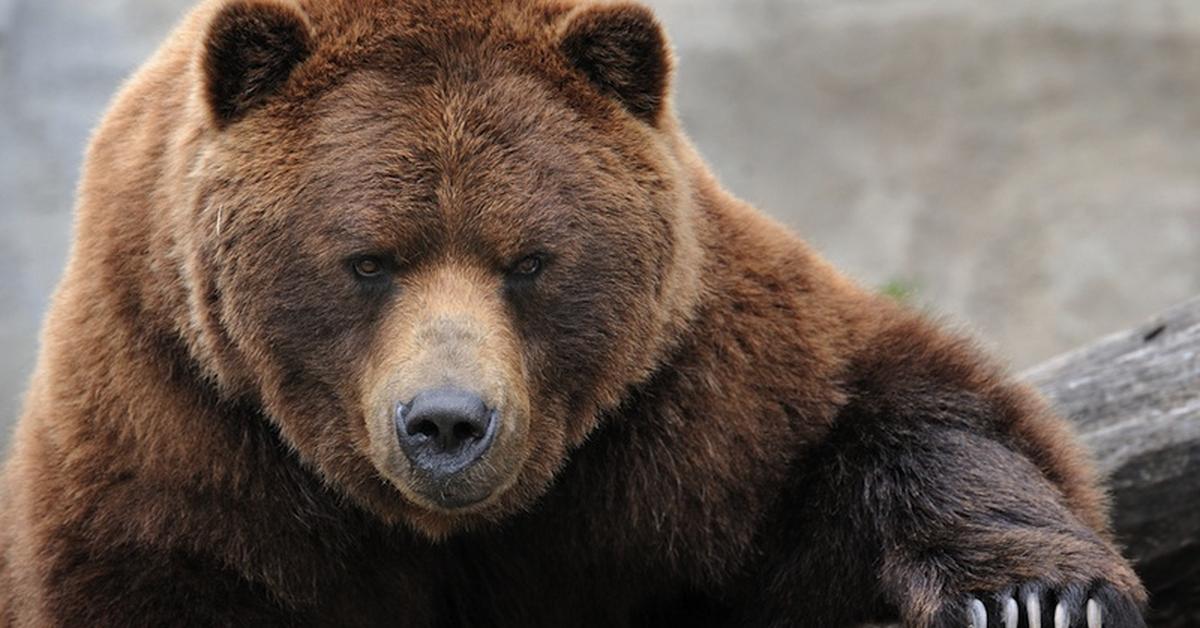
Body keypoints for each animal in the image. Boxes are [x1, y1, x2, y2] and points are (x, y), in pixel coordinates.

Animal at [0, 1, 1142, 628]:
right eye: (368, 260)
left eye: (530, 261)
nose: (449, 423)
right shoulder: (180, 434)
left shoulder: (689, 399)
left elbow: (902, 413)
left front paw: (1035, 596)